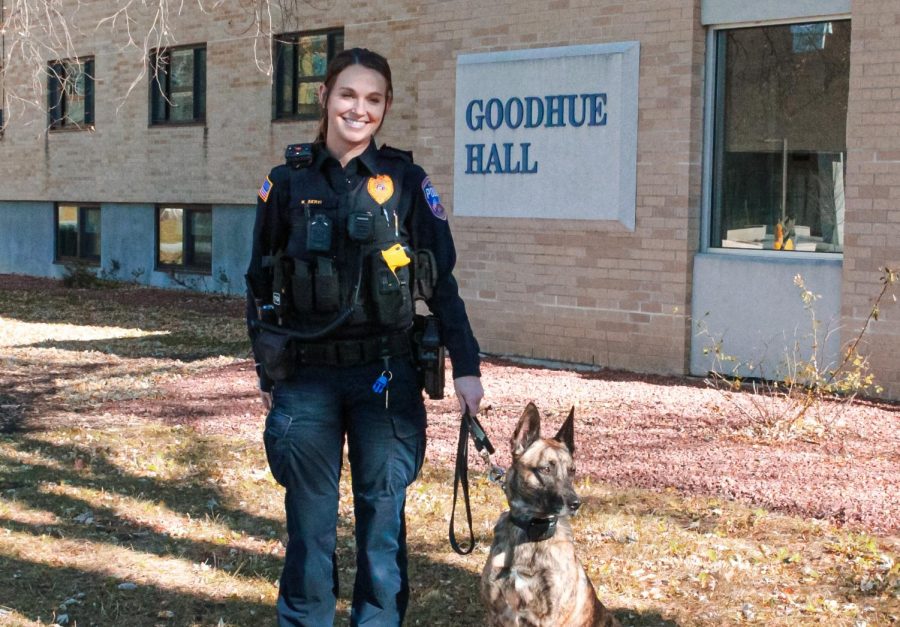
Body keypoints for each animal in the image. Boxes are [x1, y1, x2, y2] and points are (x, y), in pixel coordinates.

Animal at [486, 404, 620, 624]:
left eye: (572, 470)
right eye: (546, 469)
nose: (576, 504)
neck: (530, 532)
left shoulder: (549, 617)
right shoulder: (496, 613)